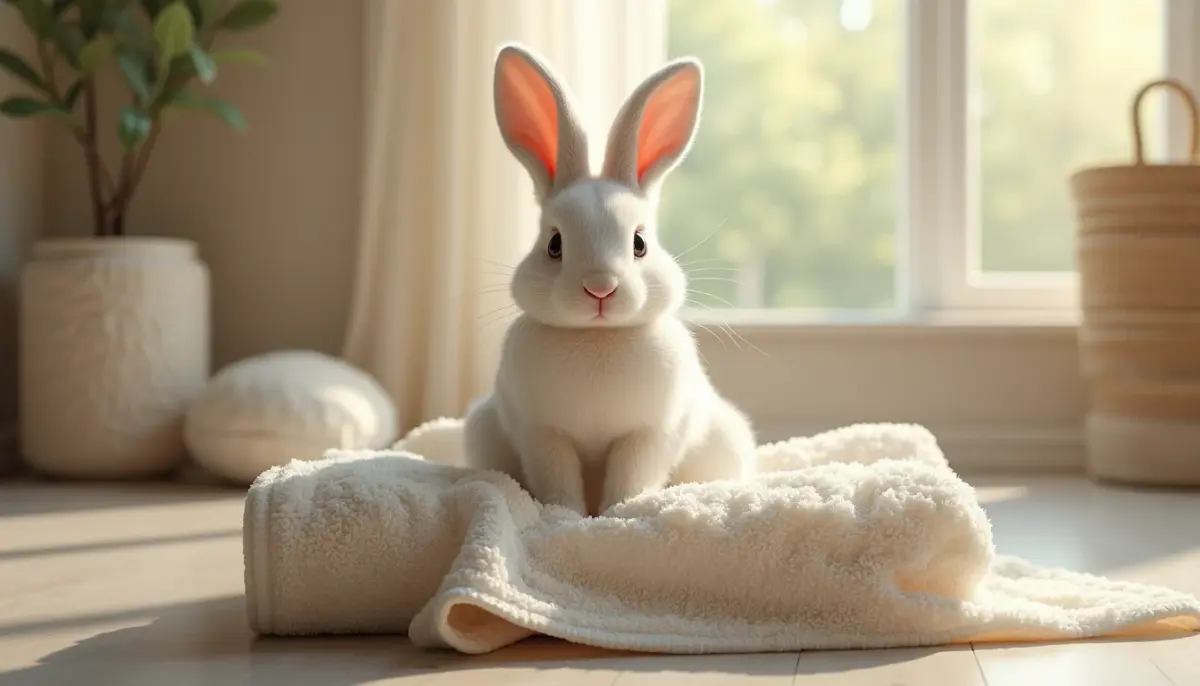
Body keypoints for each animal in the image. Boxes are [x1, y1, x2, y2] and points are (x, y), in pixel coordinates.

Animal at [463, 43, 757, 517]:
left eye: (639, 243)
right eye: (554, 245)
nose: (600, 288)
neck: (597, 337)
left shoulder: (647, 434)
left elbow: (631, 477)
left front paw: (620, 512)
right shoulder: (544, 434)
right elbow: (558, 480)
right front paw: (565, 516)